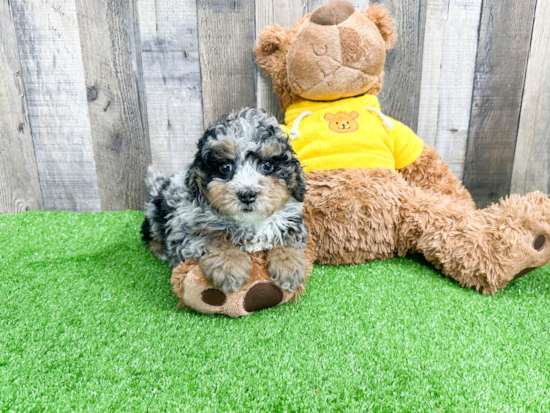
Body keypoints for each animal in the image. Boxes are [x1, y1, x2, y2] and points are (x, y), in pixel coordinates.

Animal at [141, 108, 310, 292]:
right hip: (155, 213)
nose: (247, 194)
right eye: (225, 167)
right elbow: (213, 236)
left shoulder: (292, 219)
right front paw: (231, 266)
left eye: (267, 165)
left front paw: (289, 266)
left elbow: (288, 236)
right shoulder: (186, 226)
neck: (250, 223)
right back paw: (160, 250)